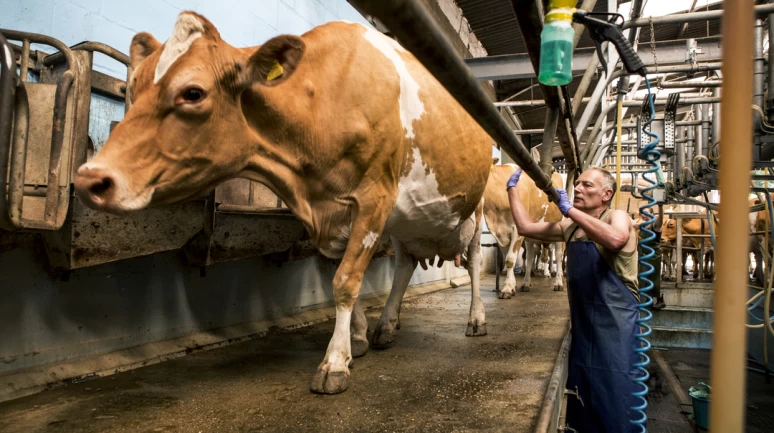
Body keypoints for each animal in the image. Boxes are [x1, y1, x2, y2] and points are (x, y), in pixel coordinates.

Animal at [76, 13, 494, 394]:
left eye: (192, 93)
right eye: (134, 85)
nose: (89, 179)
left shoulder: (374, 198)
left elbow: (347, 281)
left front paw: (334, 362)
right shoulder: (330, 218)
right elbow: (338, 277)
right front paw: (357, 339)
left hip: (474, 210)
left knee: (474, 263)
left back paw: (476, 320)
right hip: (407, 222)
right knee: (405, 264)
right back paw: (387, 325)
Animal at [482, 159, 568, 296]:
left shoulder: (517, 231)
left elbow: (510, 259)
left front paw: (507, 288)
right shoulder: (499, 232)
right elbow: (508, 257)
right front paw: (512, 285)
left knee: (559, 257)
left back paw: (558, 282)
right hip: (531, 237)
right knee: (530, 258)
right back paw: (526, 283)